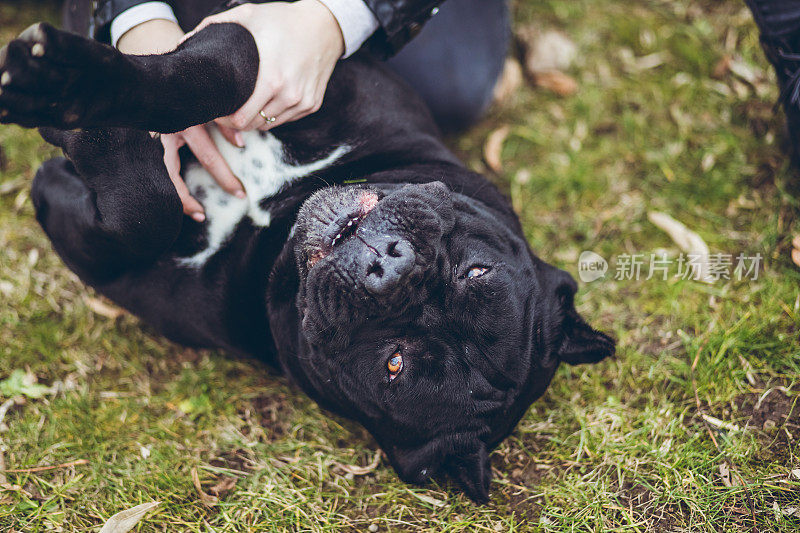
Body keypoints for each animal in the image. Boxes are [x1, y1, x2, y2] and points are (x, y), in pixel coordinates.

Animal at [0, 13, 616, 502]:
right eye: (475, 272)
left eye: (395, 364)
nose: (388, 268)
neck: (276, 206)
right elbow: (221, 72)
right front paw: (68, 84)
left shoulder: (115, 266)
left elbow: (145, 211)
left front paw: (81, 124)